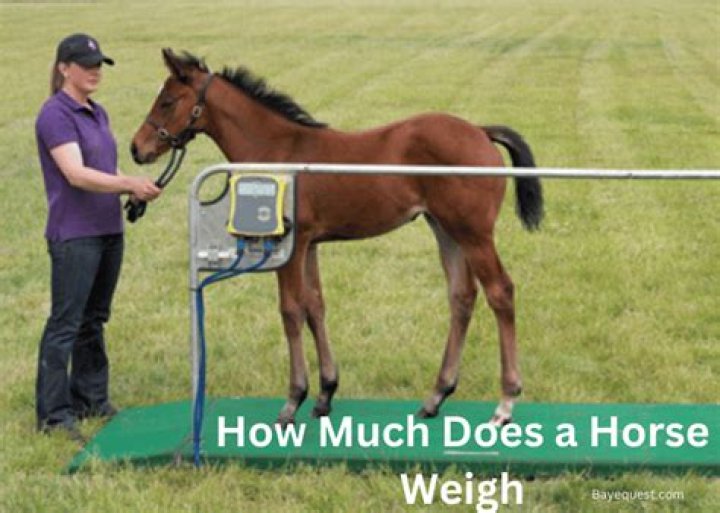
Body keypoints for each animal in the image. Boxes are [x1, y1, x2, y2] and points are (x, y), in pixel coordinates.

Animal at [131, 49, 543, 427]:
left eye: (167, 101)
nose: (137, 148)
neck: (279, 148)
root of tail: (481, 131)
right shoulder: (311, 244)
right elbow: (315, 306)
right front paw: (326, 393)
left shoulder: (292, 244)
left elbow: (291, 310)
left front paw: (293, 400)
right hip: (445, 228)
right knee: (462, 296)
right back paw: (436, 396)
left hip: (474, 232)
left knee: (500, 292)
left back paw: (505, 403)